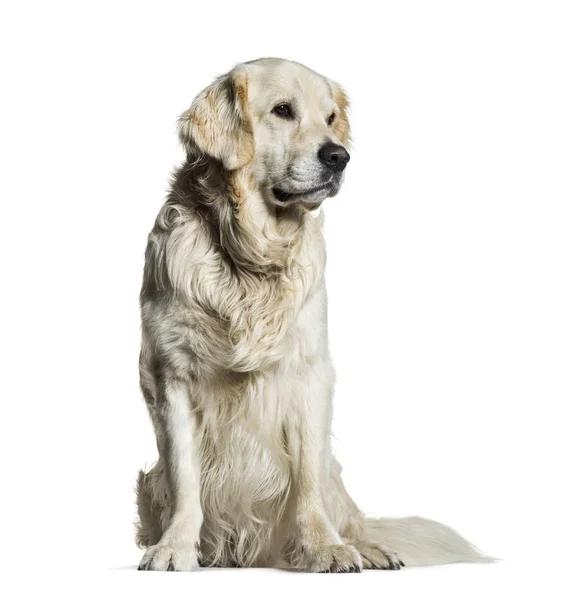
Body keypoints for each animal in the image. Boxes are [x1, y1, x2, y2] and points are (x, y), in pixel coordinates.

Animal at [135, 57, 490, 572]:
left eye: (330, 118)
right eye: (283, 110)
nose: (339, 156)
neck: (252, 257)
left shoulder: (309, 373)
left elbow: (307, 482)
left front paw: (325, 548)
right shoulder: (173, 375)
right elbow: (185, 478)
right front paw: (175, 547)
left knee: (346, 511)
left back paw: (370, 548)